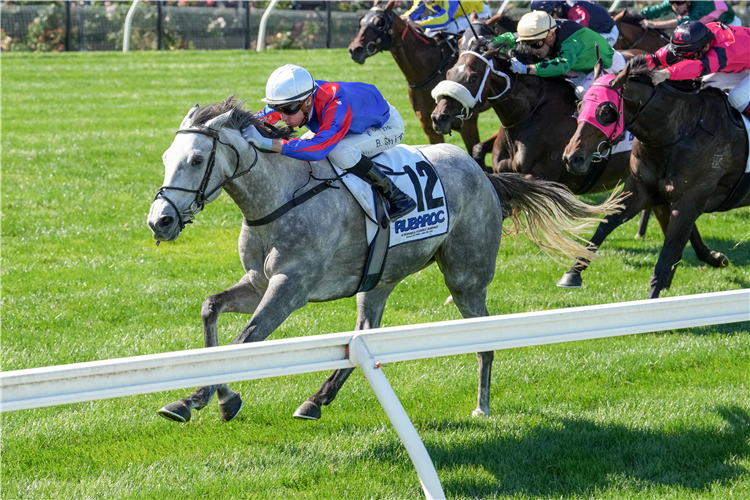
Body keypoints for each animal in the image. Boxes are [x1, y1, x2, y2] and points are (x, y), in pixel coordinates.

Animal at [147, 96, 624, 422]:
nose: (160, 220)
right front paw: (201, 398)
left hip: (466, 279)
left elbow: (246, 339)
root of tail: (483, 173)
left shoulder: (290, 288)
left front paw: (210, 398)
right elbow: (210, 307)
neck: (280, 198)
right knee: (365, 332)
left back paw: (482, 406)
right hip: (379, 280)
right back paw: (316, 400)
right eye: (166, 157)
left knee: (482, 339)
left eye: (196, 159)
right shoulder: (259, 282)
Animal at [352, 0, 516, 170]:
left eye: (379, 23)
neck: (427, 71)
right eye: (362, 21)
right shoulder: (429, 125)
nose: (354, 49)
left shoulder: (468, 126)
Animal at [564, 55, 748, 296]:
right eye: (580, 105)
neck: (680, 133)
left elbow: (665, 257)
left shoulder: (689, 200)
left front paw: (654, 297)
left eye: (606, 111)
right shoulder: (642, 189)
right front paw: (573, 273)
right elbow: (606, 224)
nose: (572, 158)